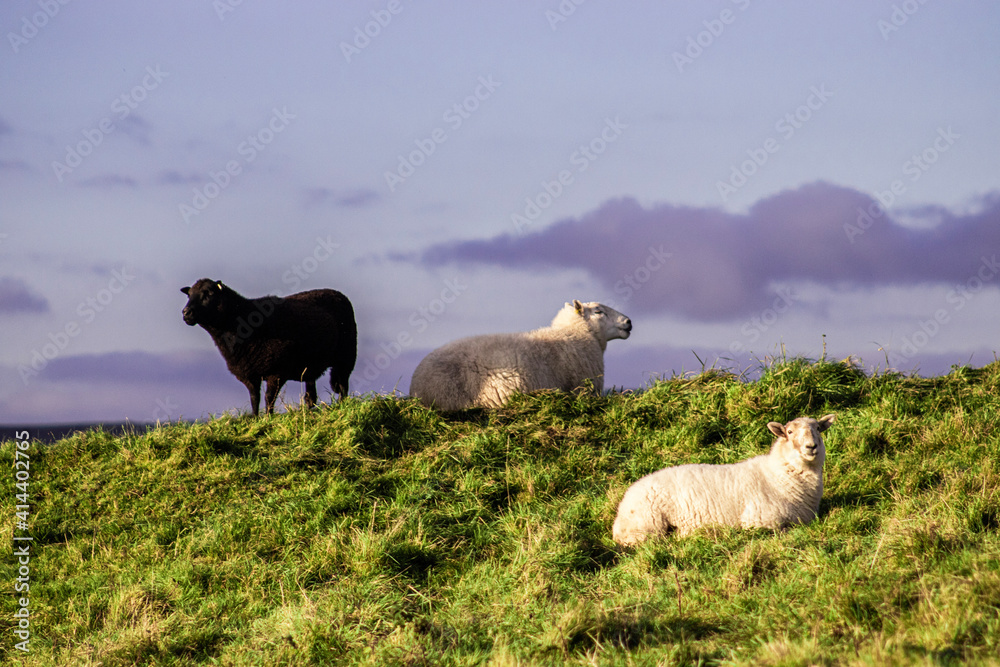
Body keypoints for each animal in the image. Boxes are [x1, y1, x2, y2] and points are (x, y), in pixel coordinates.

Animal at [180, 278, 357, 416]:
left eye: (209, 294)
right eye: (189, 295)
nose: (186, 313)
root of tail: (338, 293)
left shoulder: (276, 371)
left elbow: (268, 398)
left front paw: (268, 418)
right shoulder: (249, 373)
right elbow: (254, 398)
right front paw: (255, 418)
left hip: (346, 355)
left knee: (343, 384)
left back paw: (342, 406)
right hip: (311, 364)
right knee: (310, 394)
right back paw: (308, 411)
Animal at [612, 414, 836, 545]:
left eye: (818, 429)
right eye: (789, 432)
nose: (811, 447)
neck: (777, 476)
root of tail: (622, 503)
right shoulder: (757, 521)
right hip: (646, 525)